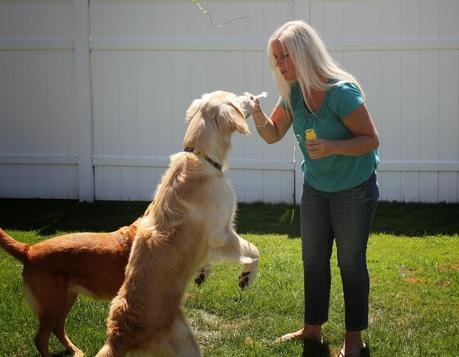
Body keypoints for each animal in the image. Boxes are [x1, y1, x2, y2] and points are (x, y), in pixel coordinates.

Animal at [95, 91, 260, 356]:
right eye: (236, 99)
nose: (253, 96)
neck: (202, 156)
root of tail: (119, 334)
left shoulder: (211, 240)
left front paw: (203, 272)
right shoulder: (222, 233)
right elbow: (254, 250)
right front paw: (247, 276)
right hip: (186, 345)